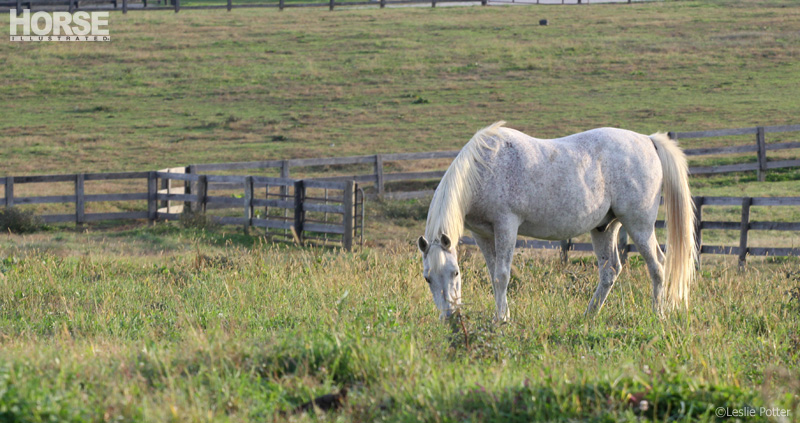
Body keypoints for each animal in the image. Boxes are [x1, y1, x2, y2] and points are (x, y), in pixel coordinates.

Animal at [418, 121, 692, 322]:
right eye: (427, 278)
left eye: (455, 273)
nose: (450, 317)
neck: (483, 168)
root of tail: (648, 141)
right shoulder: (482, 234)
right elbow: (493, 273)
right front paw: (502, 315)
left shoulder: (506, 226)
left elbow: (502, 275)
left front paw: (501, 320)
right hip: (604, 228)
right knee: (610, 270)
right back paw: (589, 315)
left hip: (639, 224)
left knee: (658, 265)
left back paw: (658, 314)